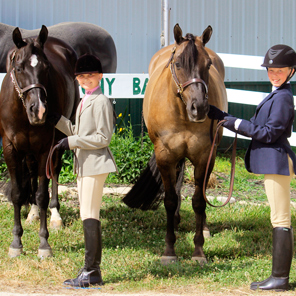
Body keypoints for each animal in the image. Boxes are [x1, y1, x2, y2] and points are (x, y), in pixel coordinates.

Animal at [0, 24, 80, 256]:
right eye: (18, 68)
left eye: (46, 68)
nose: (39, 111)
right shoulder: (10, 148)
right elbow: (18, 193)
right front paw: (16, 243)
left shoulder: (46, 147)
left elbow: (43, 193)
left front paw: (44, 244)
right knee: (31, 170)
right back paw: (33, 213)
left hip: (61, 137)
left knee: (54, 171)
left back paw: (55, 216)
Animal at [122, 24, 227, 264]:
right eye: (178, 63)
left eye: (208, 64)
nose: (199, 108)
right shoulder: (165, 156)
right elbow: (169, 199)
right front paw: (169, 250)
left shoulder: (205, 157)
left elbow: (199, 201)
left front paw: (198, 251)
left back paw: (203, 227)